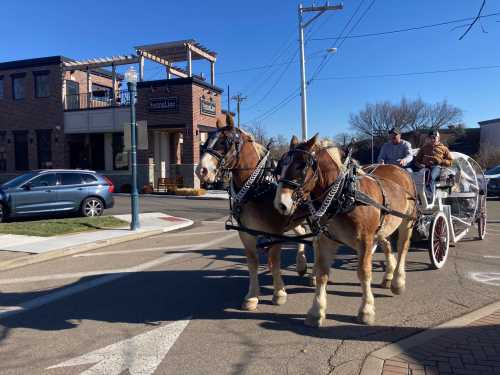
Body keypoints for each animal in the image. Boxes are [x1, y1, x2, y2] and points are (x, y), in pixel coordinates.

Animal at [195, 122, 308, 312]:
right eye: (206, 142)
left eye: (225, 142)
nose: (201, 171)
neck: (258, 185)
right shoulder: (246, 233)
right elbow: (253, 263)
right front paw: (252, 297)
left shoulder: (275, 232)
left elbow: (274, 262)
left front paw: (279, 293)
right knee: (302, 233)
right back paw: (301, 266)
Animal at [276, 134, 416, 326]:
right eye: (280, 166)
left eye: (301, 165)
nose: (281, 204)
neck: (343, 194)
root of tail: (397, 168)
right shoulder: (326, 239)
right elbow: (322, 273)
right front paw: (316, 310)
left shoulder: (365, 239)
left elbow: (364, 272)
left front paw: (366, 309)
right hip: (382, 227)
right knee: (387, 244)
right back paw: (388, 276)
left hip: (407, 221)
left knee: (403, 247)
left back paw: (397, 281)